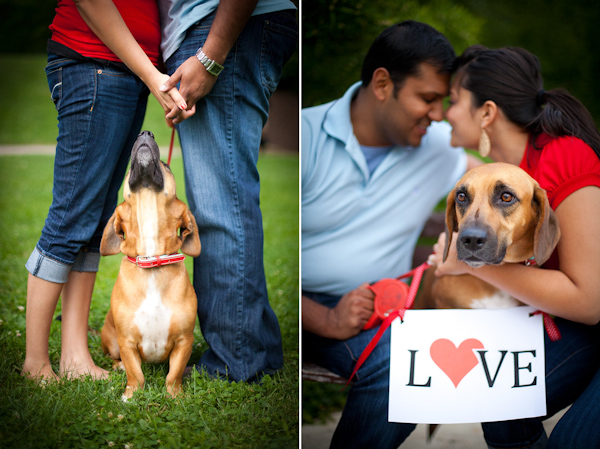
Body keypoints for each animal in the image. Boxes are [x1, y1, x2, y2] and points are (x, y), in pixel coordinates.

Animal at [99, 130, 200, 400]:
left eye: (166, 164)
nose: (145, 132)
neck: (151, 259)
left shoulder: (184, 341)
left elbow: (173, 374)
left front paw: (176, 396)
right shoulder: (126, 342)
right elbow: (136, 374)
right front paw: (131, 396)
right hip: (111, 340)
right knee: (114, 359)